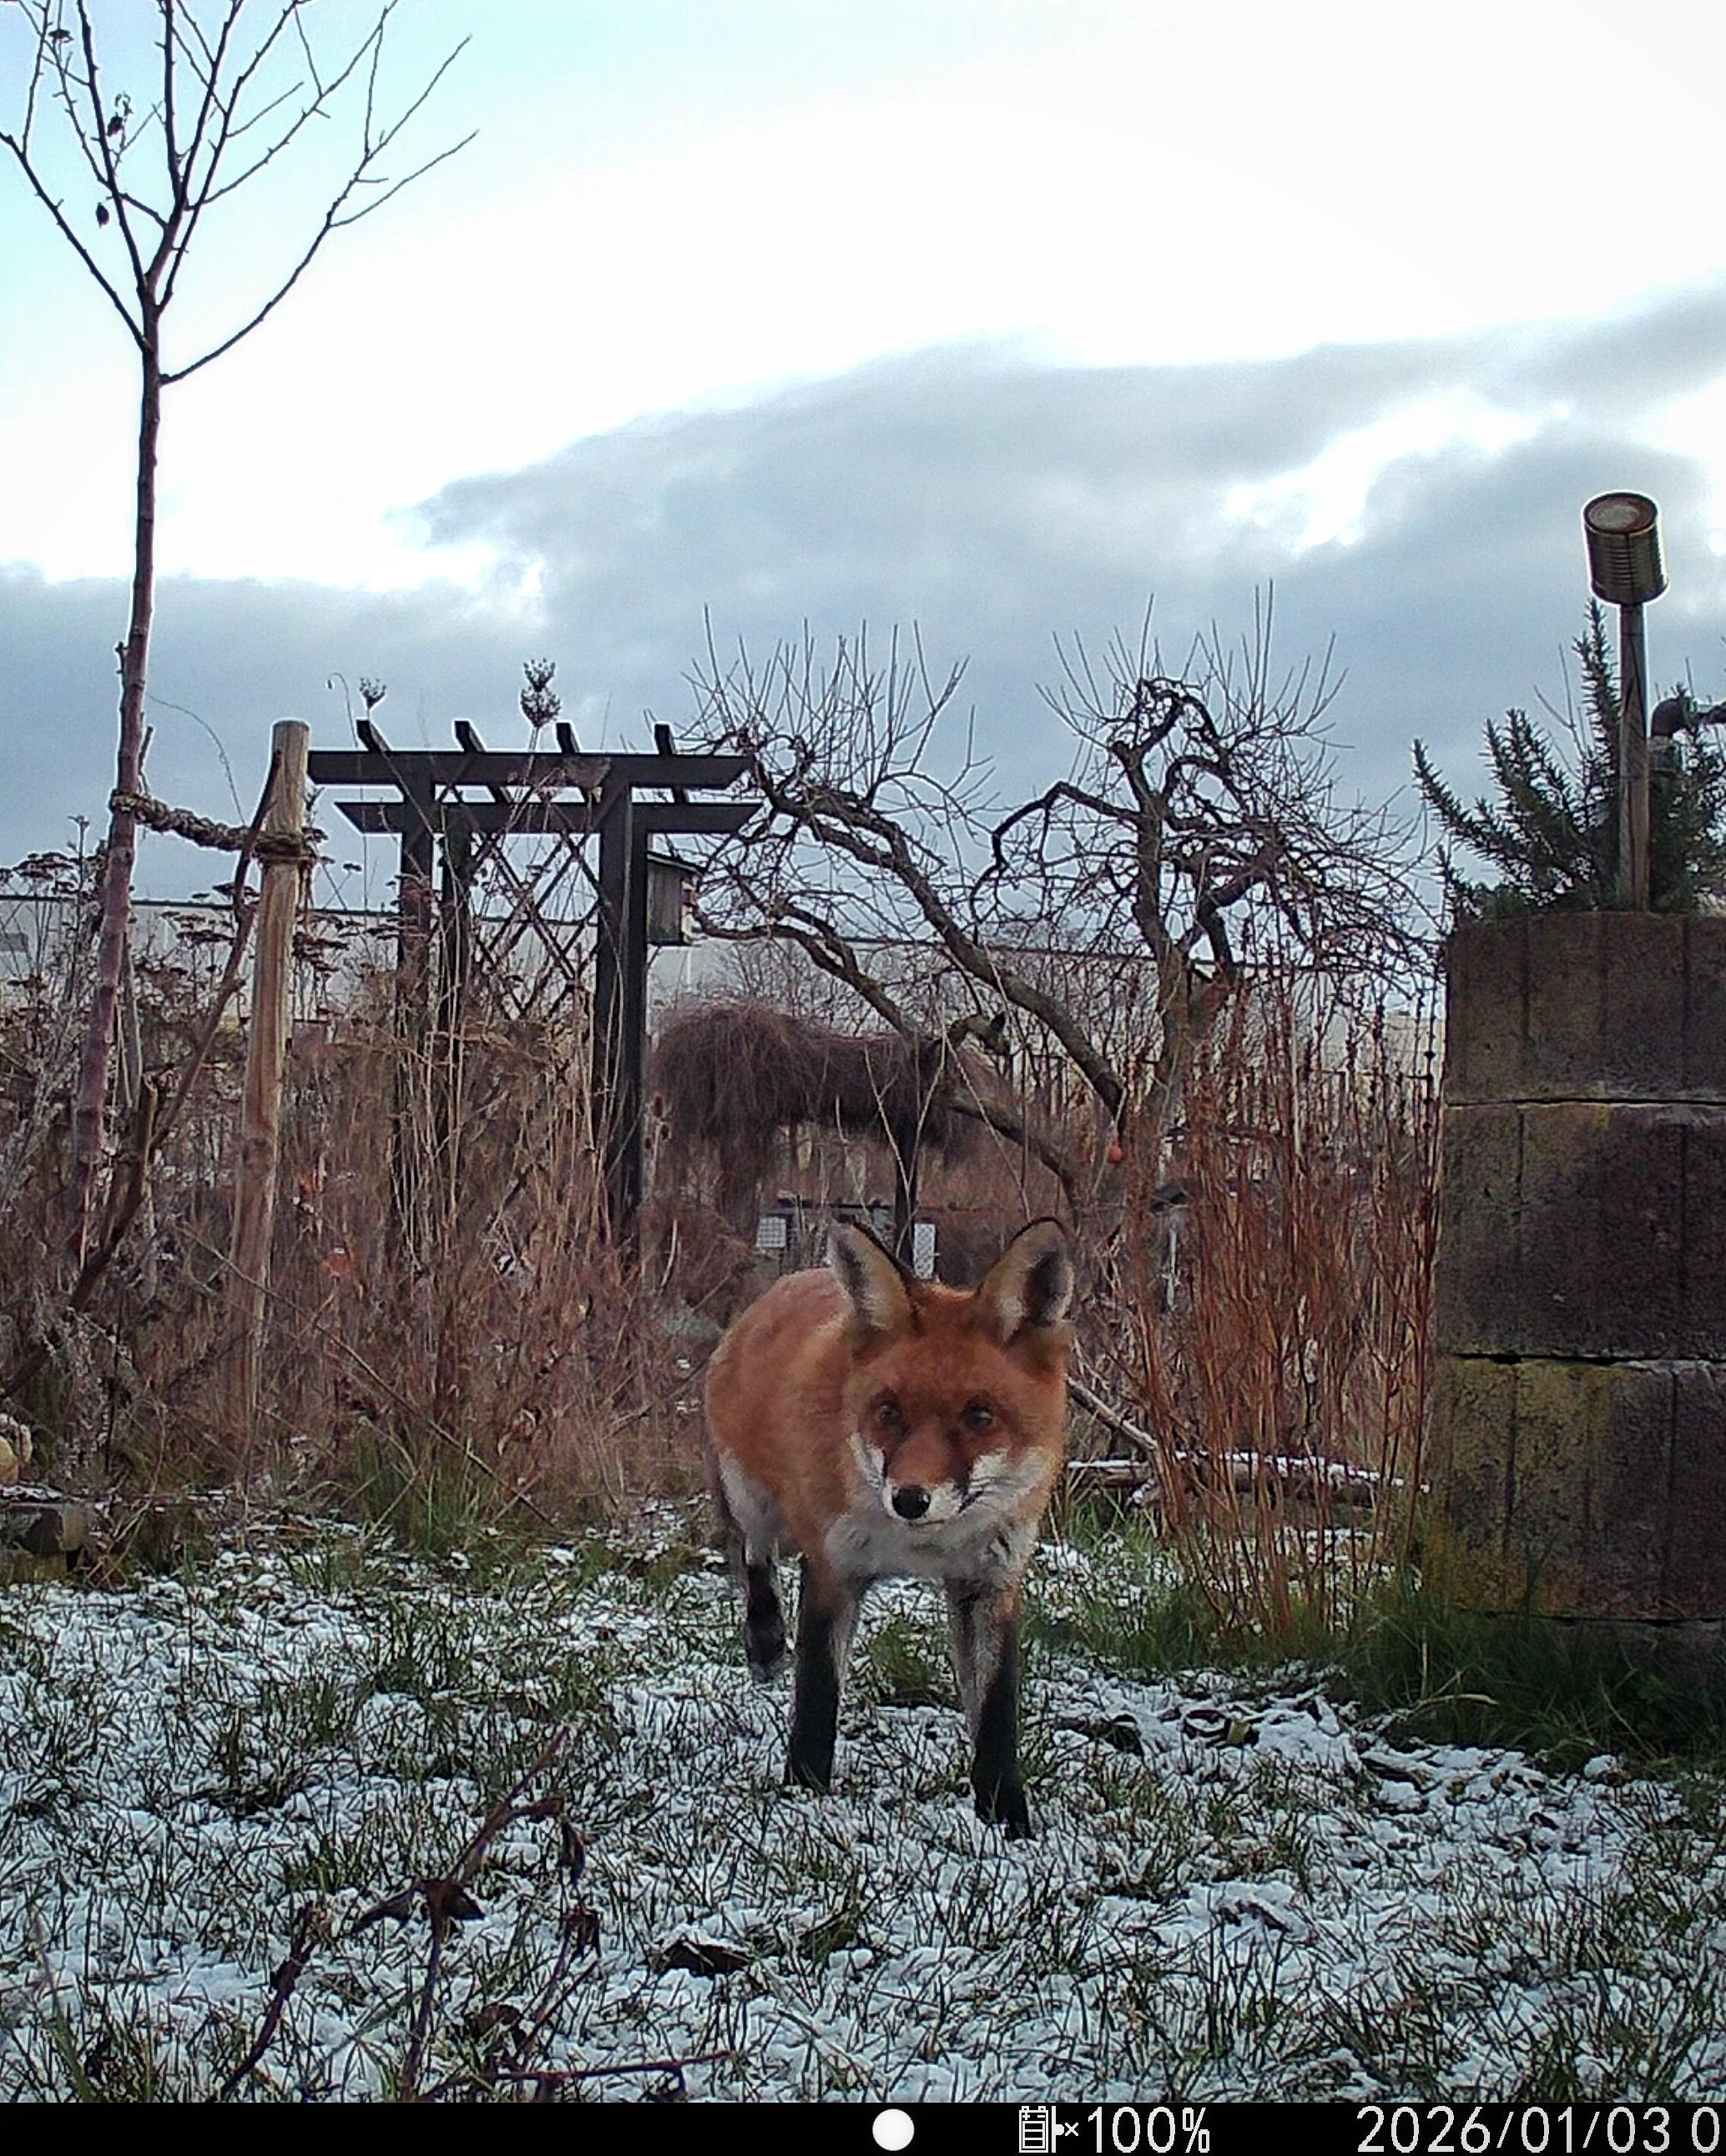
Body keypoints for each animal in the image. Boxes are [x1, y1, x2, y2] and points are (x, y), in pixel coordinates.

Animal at [703, 1215, 1074, 1838]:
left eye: (979, 1416)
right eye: (889, 1411)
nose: (909, 1499)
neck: (924, 1544)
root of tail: (792, 1278)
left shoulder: (988, 1580)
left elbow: (996, 1710)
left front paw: (1006, 1817)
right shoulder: (834, 1567)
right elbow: (818, 1690)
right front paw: (804, 1793)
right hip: (753, 1495)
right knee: (753, 1552)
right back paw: (765, 1638)